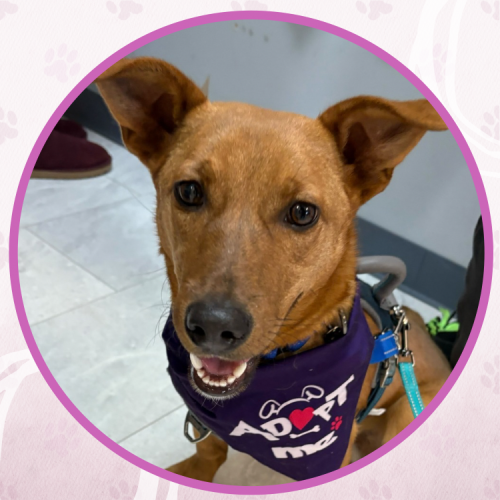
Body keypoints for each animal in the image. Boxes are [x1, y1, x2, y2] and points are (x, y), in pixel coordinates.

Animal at [96, 56, 452, 484]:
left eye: (302, 212)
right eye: (189, 191)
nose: (214, 327)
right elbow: (208, 447)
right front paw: (193, 470)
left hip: (405, 412)